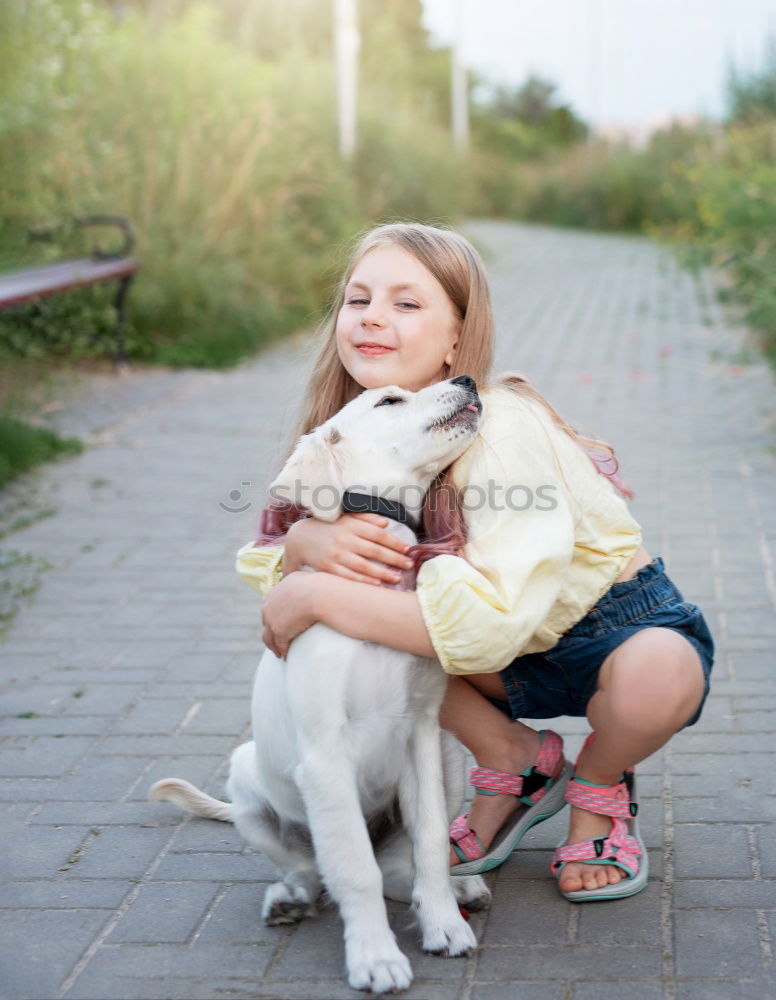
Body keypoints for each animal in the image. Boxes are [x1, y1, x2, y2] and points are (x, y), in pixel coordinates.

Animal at [151, 378, 488, 996]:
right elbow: (353, 867)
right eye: (388, 401)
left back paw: (456, 891)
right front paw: (375, 958)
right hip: (250, 784)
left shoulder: (422, 734)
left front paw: (443, 926)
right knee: (316, 871)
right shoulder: (326, 755)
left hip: (451, 755)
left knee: (397, 865)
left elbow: (430, 841)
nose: (466, 381)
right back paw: (290, 898)